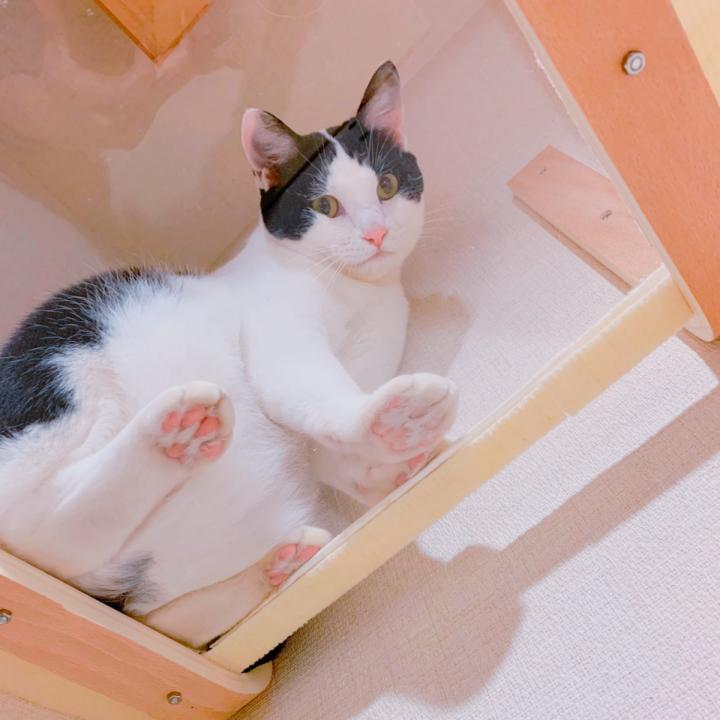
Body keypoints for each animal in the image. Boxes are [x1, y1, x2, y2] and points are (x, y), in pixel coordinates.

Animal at [0, 61, 458, 650]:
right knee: (38, 522)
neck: (356, 294)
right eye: (325, 206)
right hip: (66, 373)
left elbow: (331, 451)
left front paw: (390, 463)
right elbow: (318, 392)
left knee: (150, 613)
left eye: (387, 186)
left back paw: (273, 565)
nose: (376, 234)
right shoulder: (282, 342)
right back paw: (175, 434)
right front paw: (390, 419)